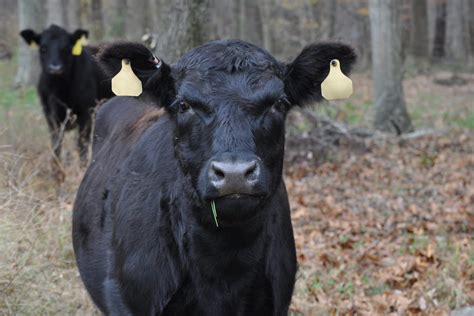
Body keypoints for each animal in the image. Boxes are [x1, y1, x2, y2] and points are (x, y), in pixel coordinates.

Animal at [19, 24, 113, 178]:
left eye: (66, 48)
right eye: (43, 48)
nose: (55, 68)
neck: (60, 89)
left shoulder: (86, 114)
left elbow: (82, 146)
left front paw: (82, 170)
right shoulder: (51, 116)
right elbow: (56, 145)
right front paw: (56, 174)